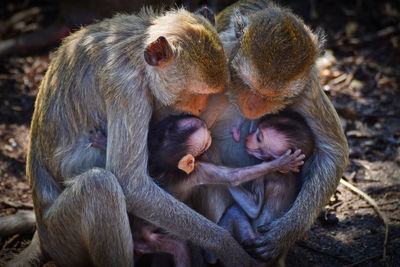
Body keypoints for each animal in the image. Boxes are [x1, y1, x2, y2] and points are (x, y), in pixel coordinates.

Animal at [13, 7, 256, 267]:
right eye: (197, 93)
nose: (200, 108)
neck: (137, 54)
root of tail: (41, 230)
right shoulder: (128, 89)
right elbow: (130, 183)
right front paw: (228, 247)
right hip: (62, 240)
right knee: (99, 185)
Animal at [90, 114, 304, 266]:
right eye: (206, 141)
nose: (210, 132)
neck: (172, 169)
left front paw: (102, 140)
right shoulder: (200, 170)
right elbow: (234, 177)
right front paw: (280, 163)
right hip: (148, 239)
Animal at [198, 0, 348, 266]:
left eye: (273, 96)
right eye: (249, 86)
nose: (253, 108)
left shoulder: (306, 88)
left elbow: (332, 152)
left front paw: (285, 232)